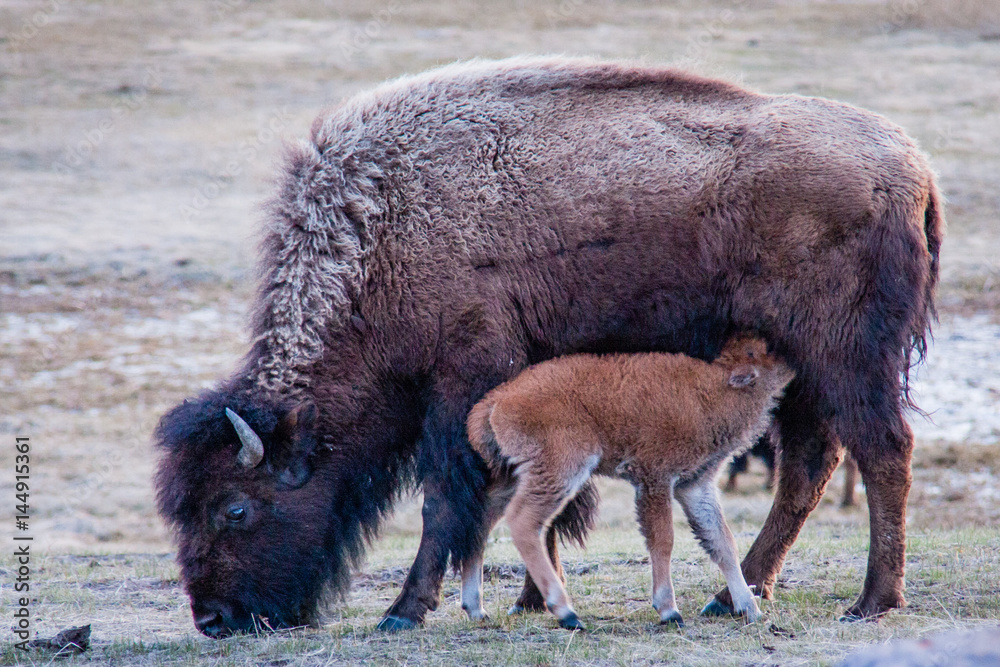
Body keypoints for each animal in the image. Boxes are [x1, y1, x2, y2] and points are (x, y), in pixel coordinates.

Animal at [154, 56, 943, 637]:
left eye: (234, 508)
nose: (214, 619)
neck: (381, 231)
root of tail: (911, 168)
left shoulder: (463, 382)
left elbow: (448, 500)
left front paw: (403, 612)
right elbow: (536, 499)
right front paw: (533, 600)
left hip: (846, 360)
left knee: (882, 451)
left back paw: (872, 600)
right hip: (801, 373)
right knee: (810, 464)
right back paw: (736, 593)